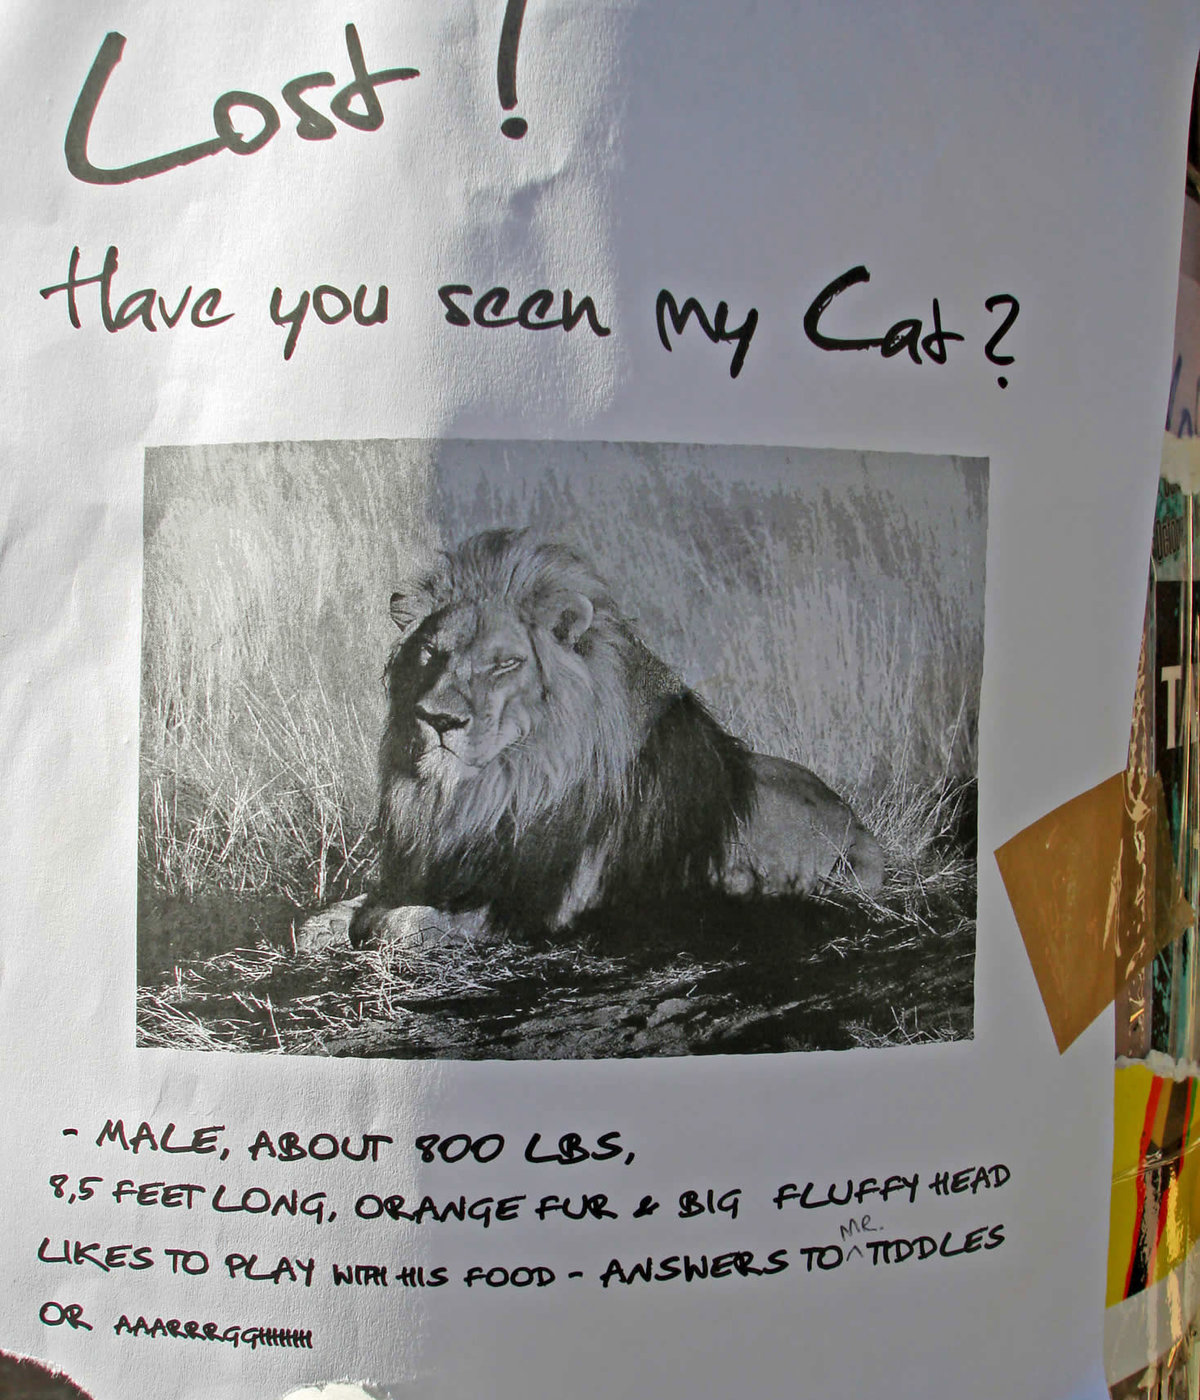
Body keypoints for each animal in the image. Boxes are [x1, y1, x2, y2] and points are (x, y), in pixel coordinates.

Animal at [345, 528, 883, 950]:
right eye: (430, 652)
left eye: (505, 664)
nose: (436, 719)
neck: (495, 788)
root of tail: (856, 821)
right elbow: (357, 906)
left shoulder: (537, 907)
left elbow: (400, 920)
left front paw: (376, 922)